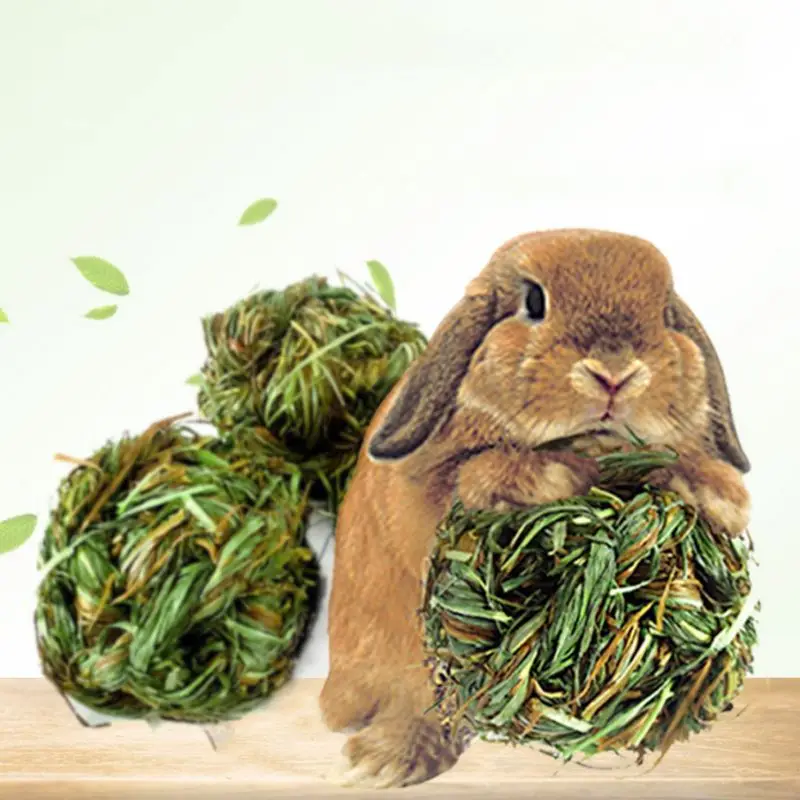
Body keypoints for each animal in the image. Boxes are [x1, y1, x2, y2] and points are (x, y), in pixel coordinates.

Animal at [320, 228, 751, 789]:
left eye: (663, 313)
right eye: (533, 302)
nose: (615, 373)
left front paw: (718, 495)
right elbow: (470, 477)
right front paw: (559, 475)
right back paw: (381, 760)